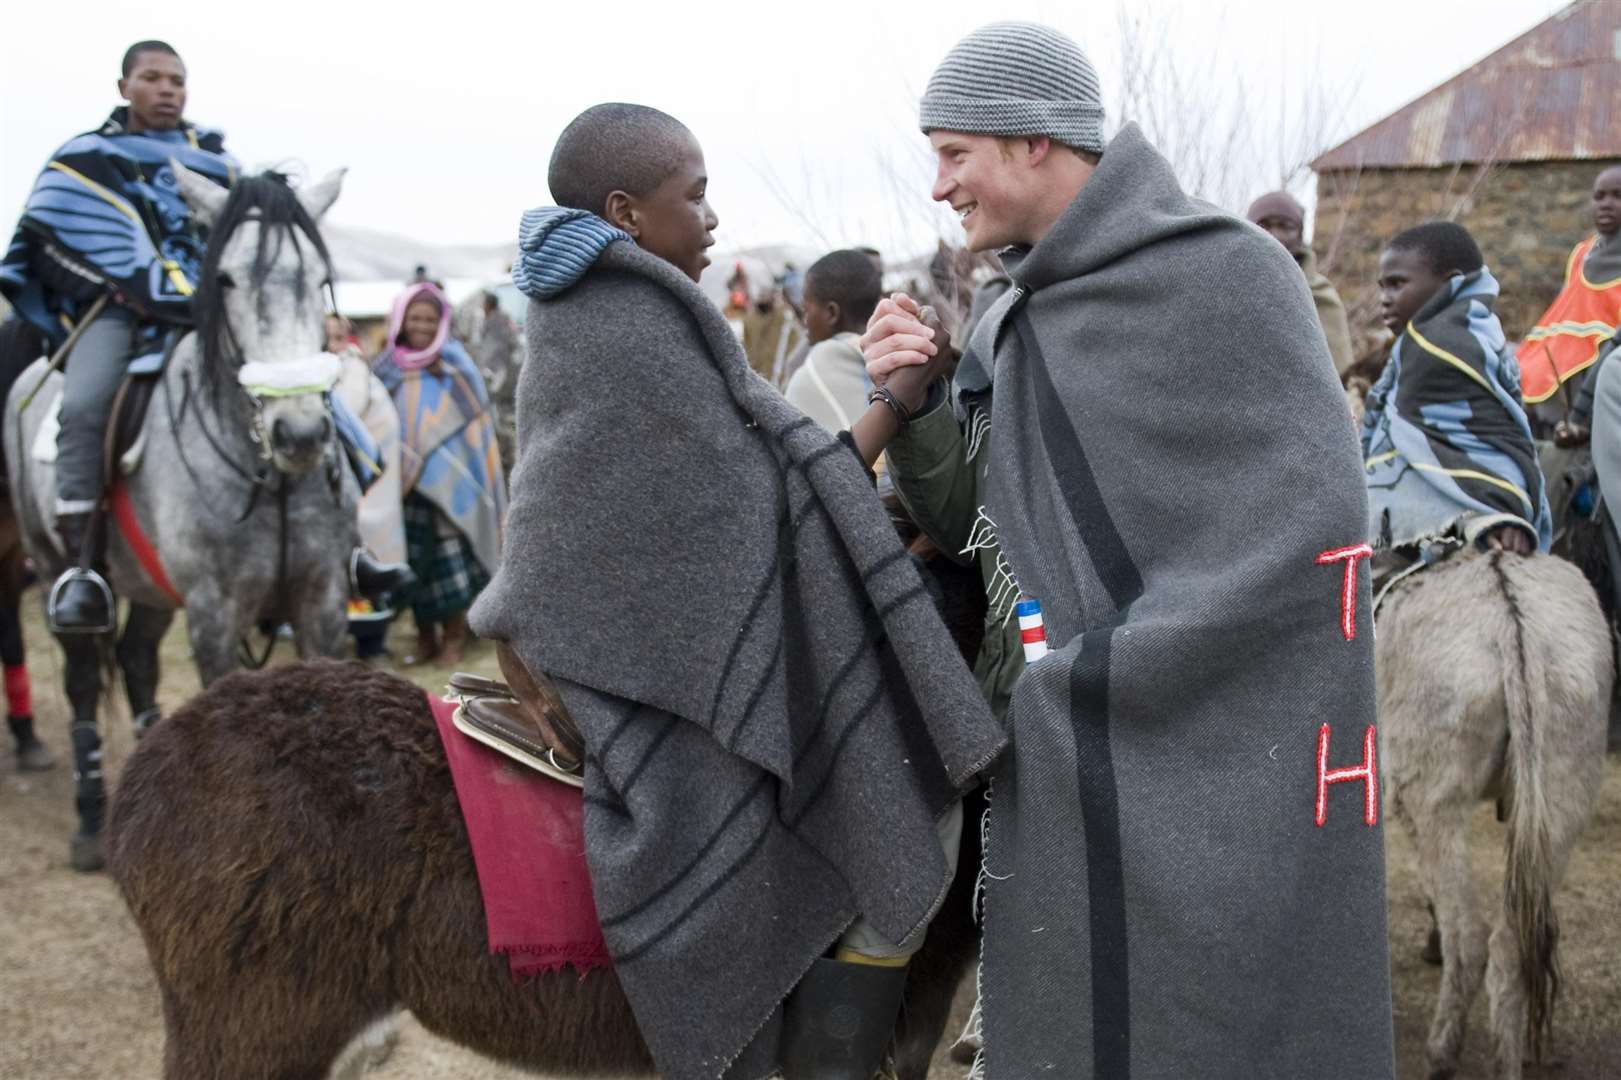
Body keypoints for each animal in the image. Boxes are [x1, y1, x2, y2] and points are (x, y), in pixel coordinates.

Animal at [2, 163, 358, 869]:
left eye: (319, 277)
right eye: (226, 279)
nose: (301, 432)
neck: (272, 481)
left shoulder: (322, 599)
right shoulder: (215, 611)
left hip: (150, 588)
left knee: (137, 659)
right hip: (54, 565)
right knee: (84, 679)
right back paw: (91, 822)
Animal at [1374, 551, 1614, 1070]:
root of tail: (1511, 611)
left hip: (1431, 803)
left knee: (1468, 938)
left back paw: (1441, 1054)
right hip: (1562, 792)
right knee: (1510, 946)